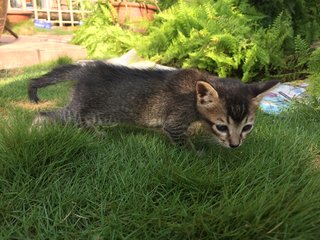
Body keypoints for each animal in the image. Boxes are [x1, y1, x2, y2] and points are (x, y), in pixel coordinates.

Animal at [28, 61, 278, 148]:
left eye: (247, 127)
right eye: (222, 127)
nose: (235, 145)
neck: (193, 95)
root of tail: (84, 69)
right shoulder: (175, 121)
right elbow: (182, 141)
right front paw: (197, 155)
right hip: (87, 110)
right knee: (50, 115)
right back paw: (35, 129)